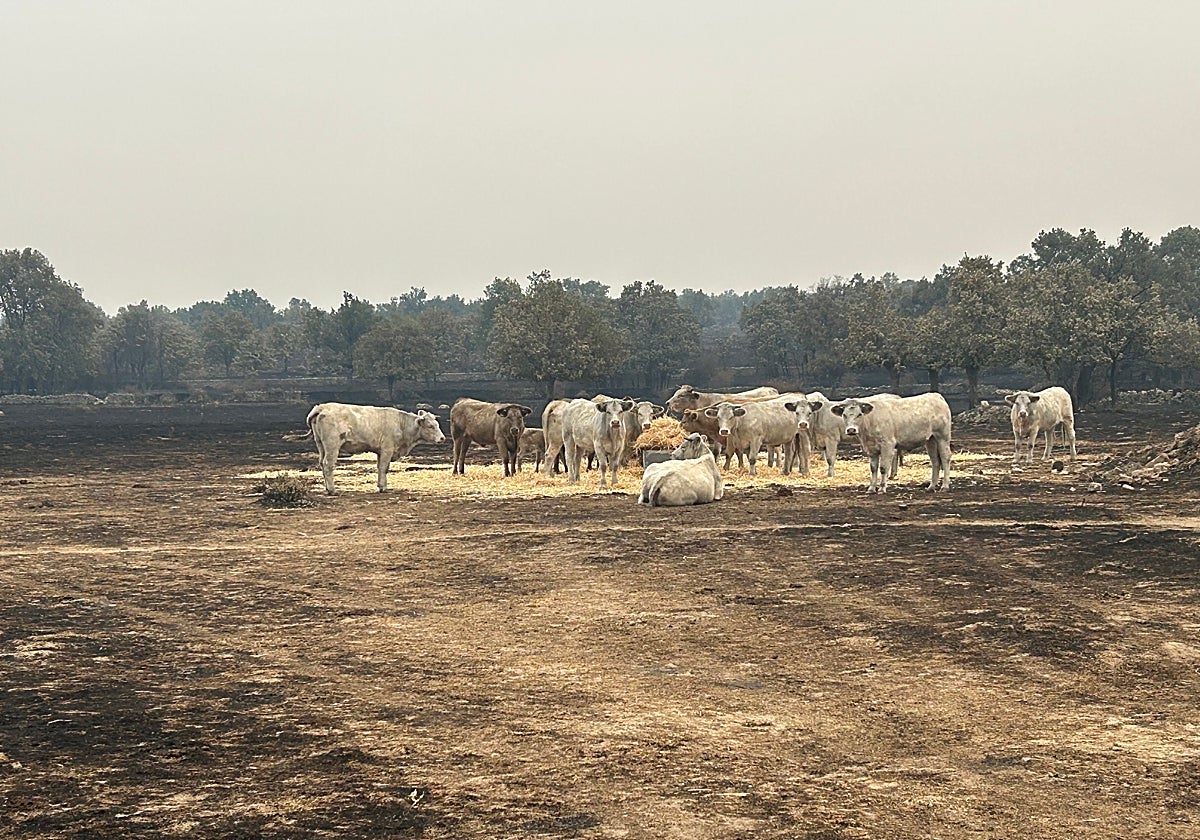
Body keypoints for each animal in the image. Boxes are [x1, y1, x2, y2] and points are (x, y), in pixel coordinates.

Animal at [302, 402, 446, 494]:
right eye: (430, 426)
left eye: (437, 424)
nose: (442, 438)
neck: (401, 424)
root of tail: (321, 407)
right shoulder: (387, 449)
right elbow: (384, 468)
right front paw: (383, 488)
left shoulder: (380, 451)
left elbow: (379, 467)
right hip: (332, 445)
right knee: (328, 465)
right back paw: (332, 490)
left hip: (320, 444)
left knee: (322, 463)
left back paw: (327, 488)